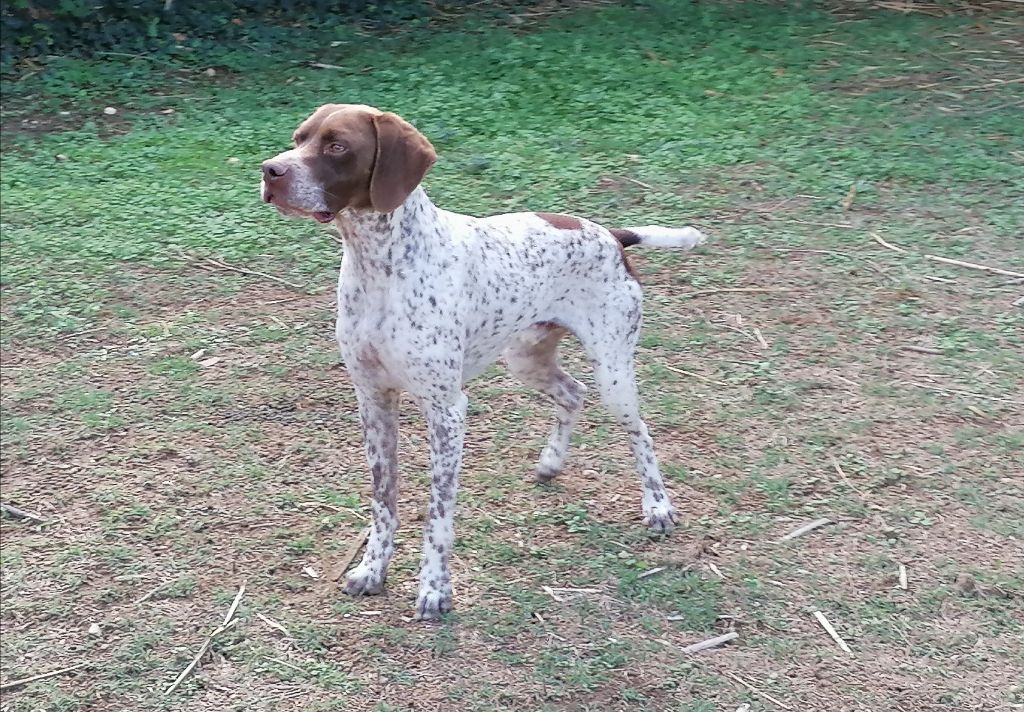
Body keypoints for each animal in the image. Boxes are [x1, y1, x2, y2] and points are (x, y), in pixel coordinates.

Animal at [260, 102, 704, 622]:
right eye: (298, 138)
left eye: (337, 146)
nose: (270, 171)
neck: (380, 264)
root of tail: (612, 236)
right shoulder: (374, 402)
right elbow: (384, 502)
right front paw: (373, 570)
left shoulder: (447, 411)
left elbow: (438, 515)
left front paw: (434, 589)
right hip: (526, 359)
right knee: (573, 393)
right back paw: (551, 463)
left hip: (613, 371)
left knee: (640, 433)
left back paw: (657, 507)